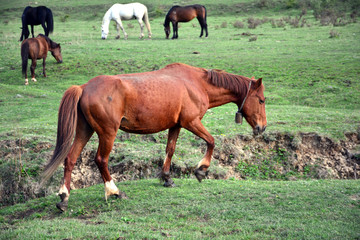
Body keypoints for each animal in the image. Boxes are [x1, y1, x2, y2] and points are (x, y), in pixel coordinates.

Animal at [41, 62, 268, 211]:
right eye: (262, 100)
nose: (262, 128)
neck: (196, 83)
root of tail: (84, 87)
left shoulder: (176, 125)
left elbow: (170, 150)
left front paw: (167, 178)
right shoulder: (191, 122)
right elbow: (211, 141)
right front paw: (201, 170)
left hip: (84, 130)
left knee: (70, 159)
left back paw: (64, 197)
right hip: (107, 133)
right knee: (101, 160)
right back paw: (114, 191)